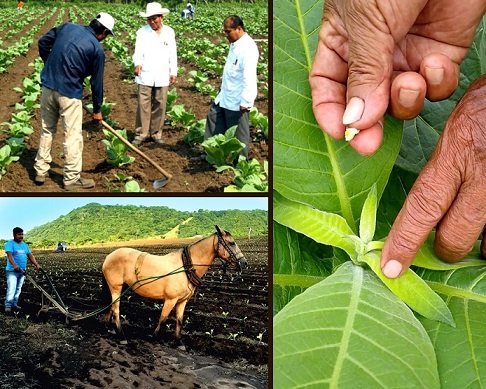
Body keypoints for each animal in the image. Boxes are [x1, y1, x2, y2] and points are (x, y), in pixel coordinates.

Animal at [102, 224, 247, 342]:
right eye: (232, 243)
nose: (244, 263)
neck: (185, 267)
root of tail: (109, 256)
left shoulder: (182, 301)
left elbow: (179, 321)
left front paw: (178, 341)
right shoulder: (170, 299)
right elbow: (163, 318)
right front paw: (154, 336)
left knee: (111, 307)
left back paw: (109, 328)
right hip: (116, 288)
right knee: (116, 309)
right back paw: (121, 335)